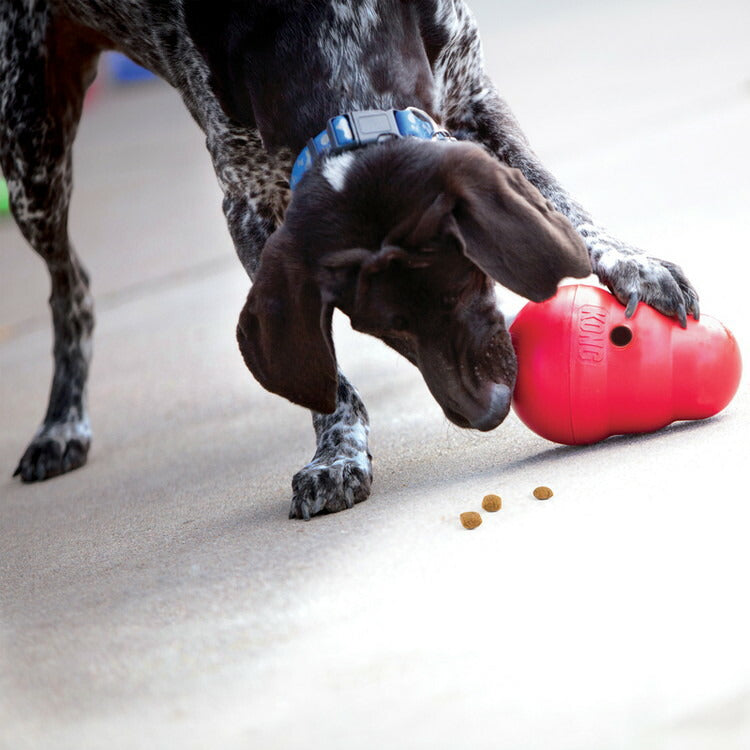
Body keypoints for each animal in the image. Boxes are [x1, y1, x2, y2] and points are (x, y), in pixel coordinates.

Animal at [2, 0, 704, 520]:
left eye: (467, 282)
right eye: (382, 329)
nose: (487, 414)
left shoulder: (471, 92)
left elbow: (560, 203)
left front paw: (633, 263)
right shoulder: (247, 202)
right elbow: (325, 376)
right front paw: (337, 453)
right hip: (28, 146)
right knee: (71, 286)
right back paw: (61, 425)